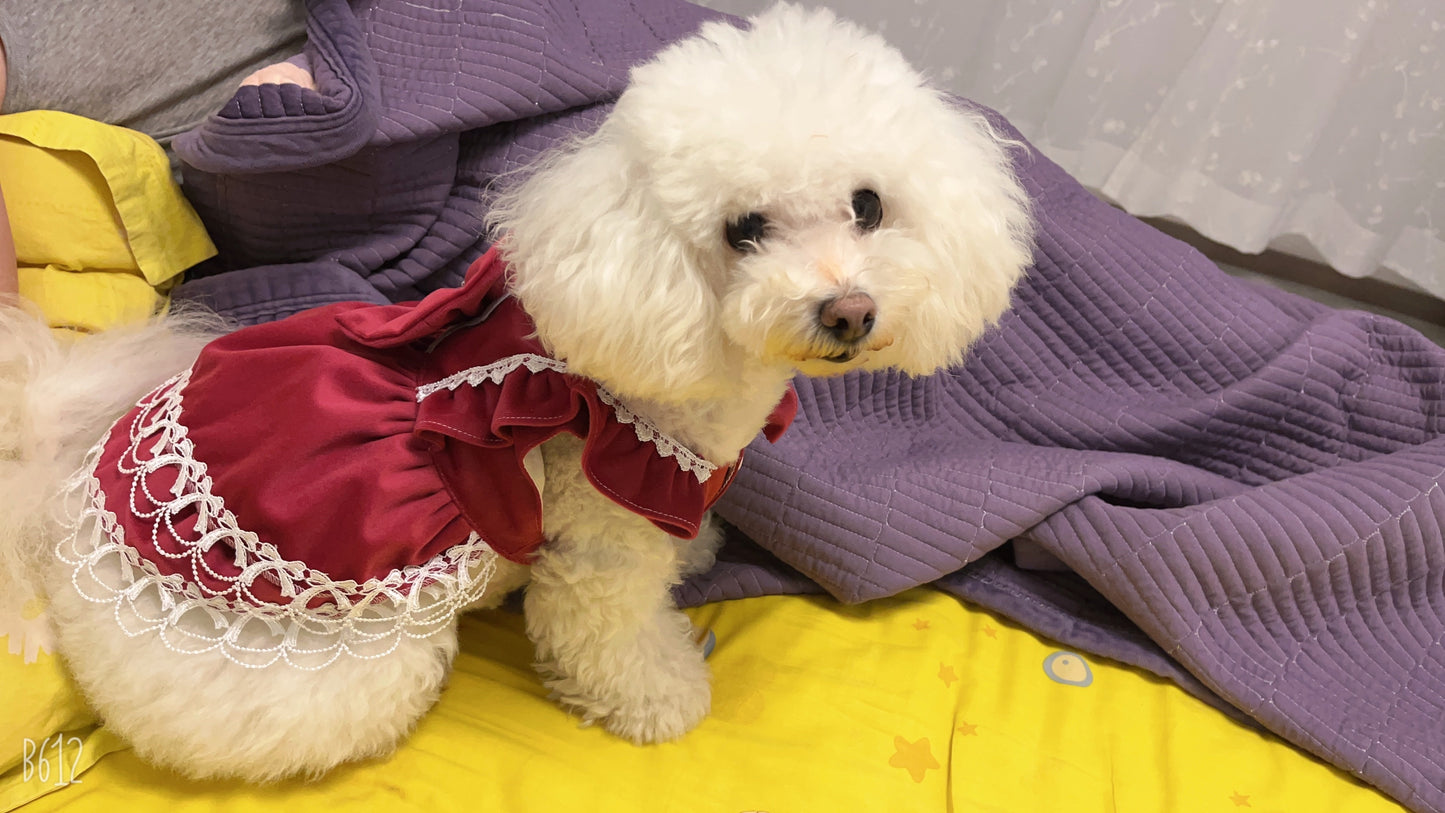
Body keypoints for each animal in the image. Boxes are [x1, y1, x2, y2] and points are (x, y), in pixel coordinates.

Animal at [2, 3, 1040, 785]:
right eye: (742, 228)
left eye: (868, 206)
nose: (848, 311)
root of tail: (64, 527)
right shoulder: (599, 543)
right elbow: (610, 636)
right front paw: (663, 698)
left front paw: (699, 550)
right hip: (354, 657)